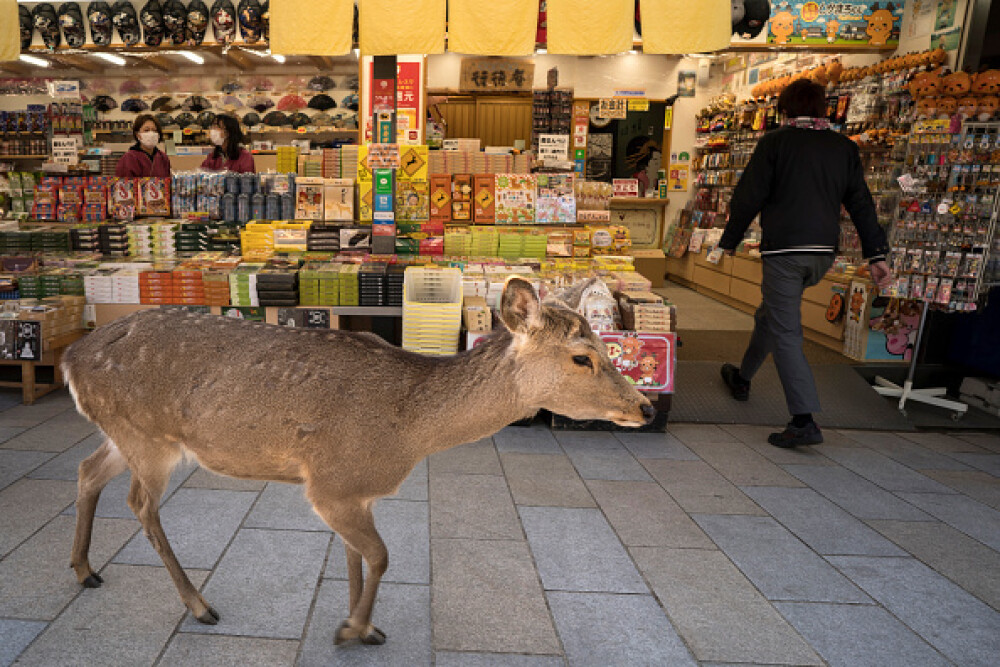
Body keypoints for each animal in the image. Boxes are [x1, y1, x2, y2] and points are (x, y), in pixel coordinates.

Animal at [64, 278, 656, 648]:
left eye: (604, 345)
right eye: (582, 357)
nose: (645, 406)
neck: (407, 430)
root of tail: (72, 358)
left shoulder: (352, 491)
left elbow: (354, 557)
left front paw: (360, 624)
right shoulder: (330, 483)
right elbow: (380, 556)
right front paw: (353, 631)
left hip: (120, 432)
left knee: (88, 470)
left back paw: (85, 569)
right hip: (148, 437)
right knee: (140, 504)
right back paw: (198, 605)